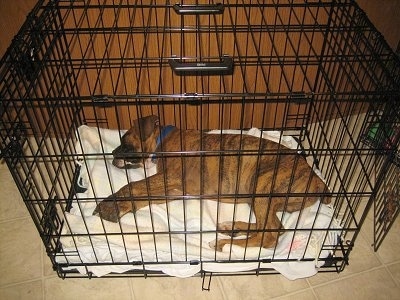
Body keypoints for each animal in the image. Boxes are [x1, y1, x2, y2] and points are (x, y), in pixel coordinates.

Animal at [94, 115, 332, 251]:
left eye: (124, 140)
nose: (112, 155)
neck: (164, 140)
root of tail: (317, 179)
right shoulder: (174, 189)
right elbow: (142, 195)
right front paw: (119, 207)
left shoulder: (169, 178)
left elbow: (133, 186)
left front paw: (110, 204)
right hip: (260, 197)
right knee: (272, 227)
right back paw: (232, 227)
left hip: (262, 186)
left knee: (270, 235)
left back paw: (223, 243)